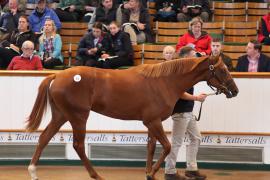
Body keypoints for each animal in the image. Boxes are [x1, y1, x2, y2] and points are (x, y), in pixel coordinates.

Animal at [25, 55, 238, 179]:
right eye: (223, 70)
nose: (235, 91)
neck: (164, 82)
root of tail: (57, 76)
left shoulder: (152, 123)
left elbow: (151, 147)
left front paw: (148, 172)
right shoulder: (153, 122)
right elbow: (167, 146)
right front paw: (152, 173)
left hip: (61, 115)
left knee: (44, 138)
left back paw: (33, 171)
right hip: (78, 117)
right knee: (78, 145)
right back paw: (96, 175)